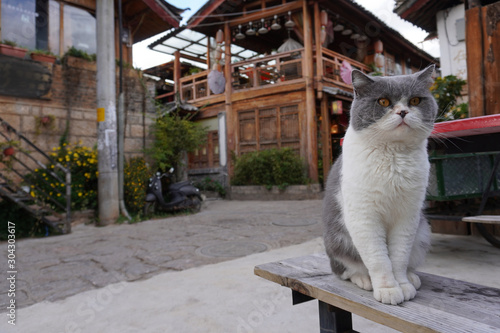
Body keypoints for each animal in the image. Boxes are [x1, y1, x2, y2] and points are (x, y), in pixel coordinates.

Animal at [324, 66, 438, 304]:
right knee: (346, 269)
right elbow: (378, 259)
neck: (393, 156)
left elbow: (399, 256)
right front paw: (388, 289)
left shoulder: (408, 216)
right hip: (337, 240)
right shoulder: (364, 217)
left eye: (415, 100)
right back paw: (363, 279)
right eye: (383, 102)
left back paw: (411, 277)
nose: (402, 112)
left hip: (422, 231)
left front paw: (402, 285)